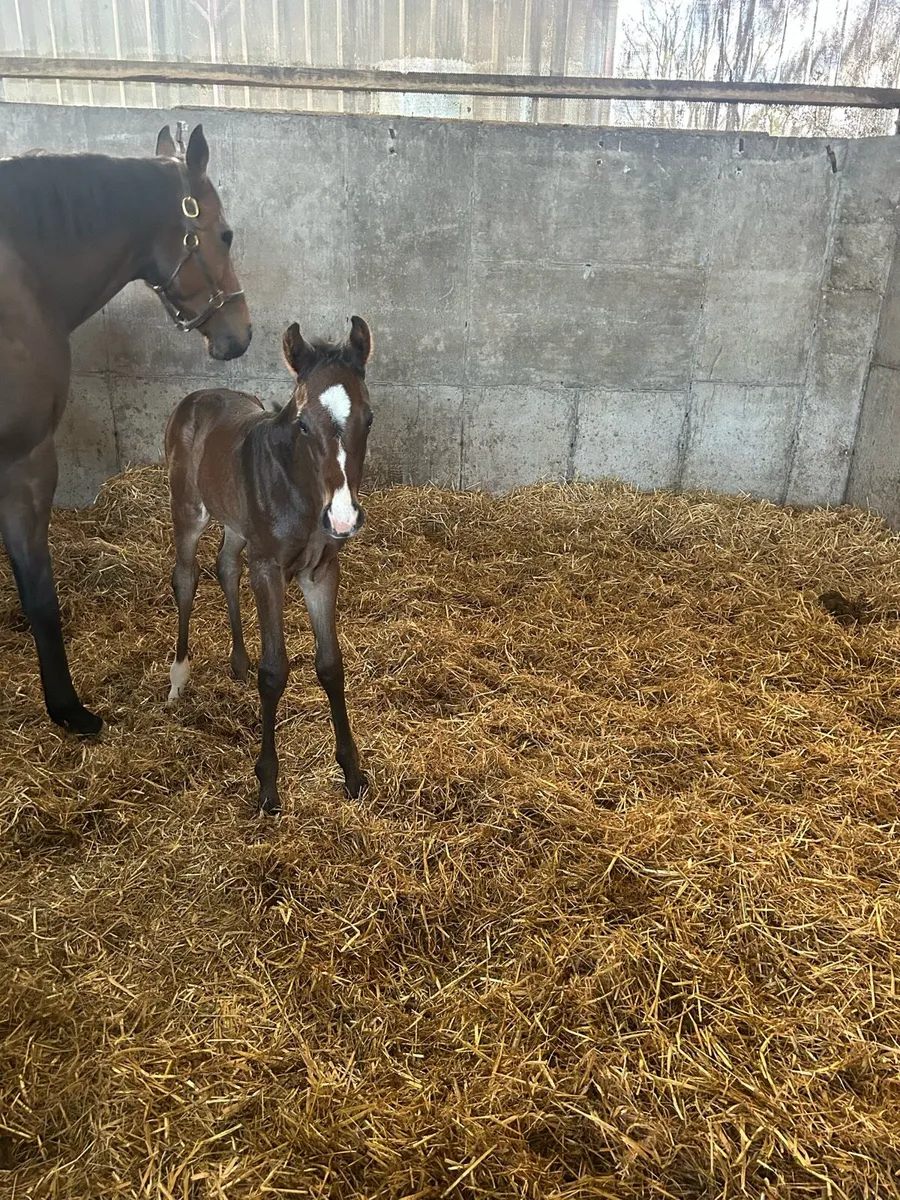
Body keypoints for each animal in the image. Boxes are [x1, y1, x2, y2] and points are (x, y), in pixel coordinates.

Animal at [164, 317, 373, 815]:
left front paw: (352, 773)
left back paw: (237, 662)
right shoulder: (268, 569)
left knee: (225, 567)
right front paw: (267, 786)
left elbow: (331, 664)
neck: (300, 491)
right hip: (189, 510)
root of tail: (196, 397)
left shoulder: (321, 572)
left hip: (237, 523)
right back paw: (178, 677)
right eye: (303, 423)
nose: (343, 517)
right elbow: (275, 671)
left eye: (369, 418)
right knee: (187, 578)